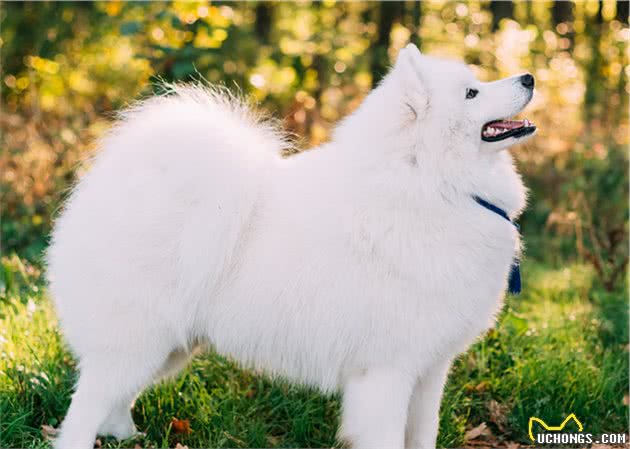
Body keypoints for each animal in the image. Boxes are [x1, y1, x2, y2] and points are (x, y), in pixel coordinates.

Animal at [47, 44, 536, 448]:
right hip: (136, 341)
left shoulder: (430, 368)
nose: (530, 77)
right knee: (83, 410)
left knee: (114, 399)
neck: (436, 185)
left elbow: (424, 434)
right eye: (472, 93)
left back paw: (128, 435)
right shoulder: (386, 372)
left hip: (169, 347)